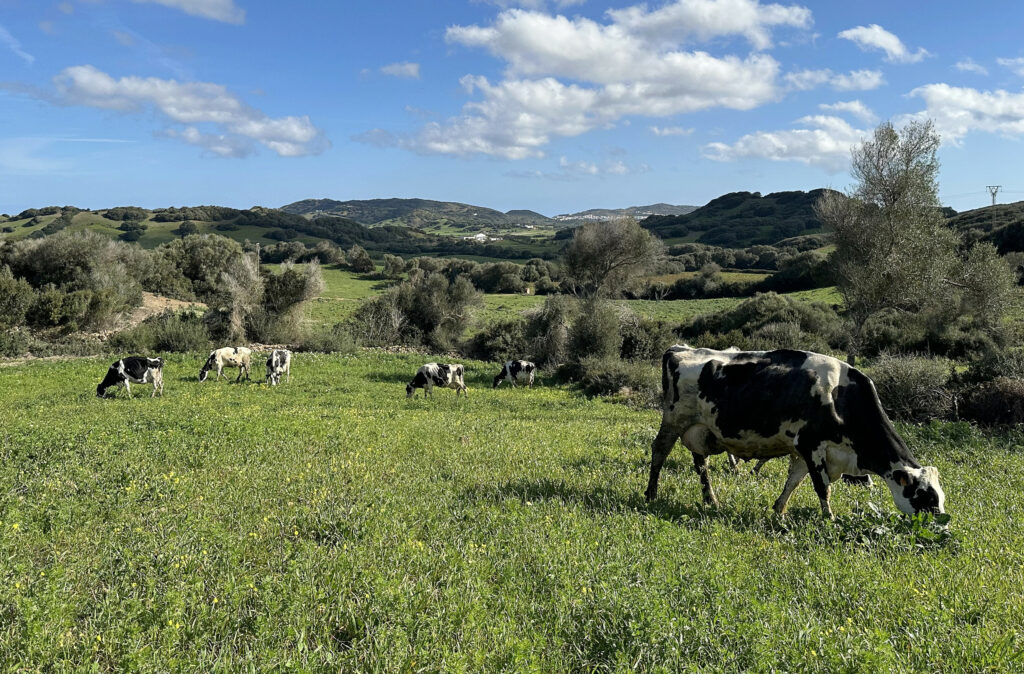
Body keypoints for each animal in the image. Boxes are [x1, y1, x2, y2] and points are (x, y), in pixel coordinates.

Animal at [647, 344, 942, 516]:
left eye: (940, 496)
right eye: (925, 497)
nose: (943, 525)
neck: (841, 396)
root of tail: (680, 350)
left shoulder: (803, 451)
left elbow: (793, 482)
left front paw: (779, 511)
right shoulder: (812, 446)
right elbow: (822, 488)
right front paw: (829, 519)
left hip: (700, 429)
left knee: (701, 463)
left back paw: (711, 500)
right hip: (674, 420)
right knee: (659, 452)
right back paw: (651, 494)